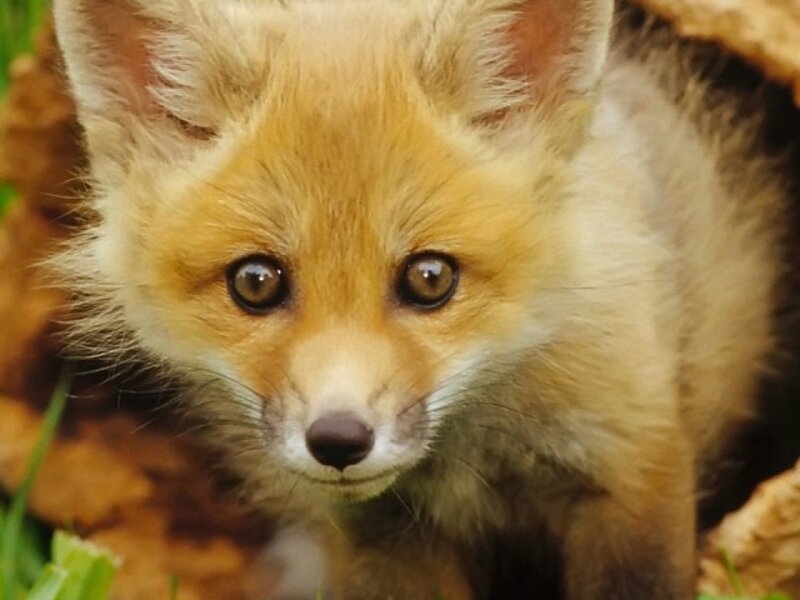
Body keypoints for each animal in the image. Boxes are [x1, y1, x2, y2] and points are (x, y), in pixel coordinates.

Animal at [51, 0, 788, 598]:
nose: (339, 439)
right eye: (255, 283)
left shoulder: (631, 467)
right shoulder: (381, 533)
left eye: (430, 278)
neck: (474, 458)